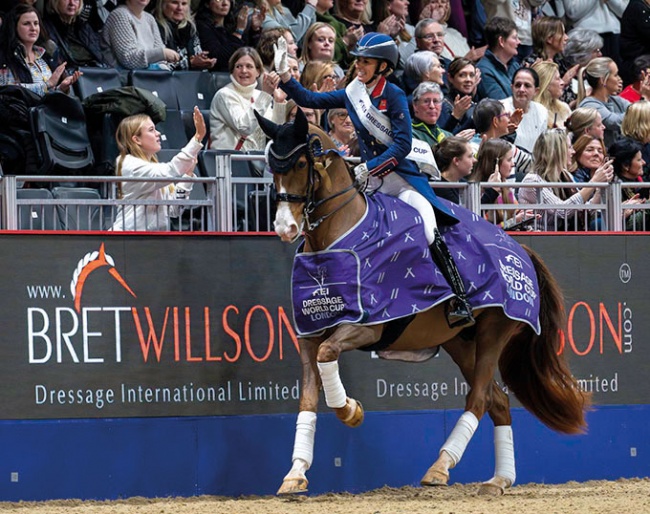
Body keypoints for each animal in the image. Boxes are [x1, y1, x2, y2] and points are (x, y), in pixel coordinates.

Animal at [256, 109, 588, 496]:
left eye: (299, 164)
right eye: (272, 165)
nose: (284, 227)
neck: (337, 238)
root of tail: (519, 248)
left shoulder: (369, 325)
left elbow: (329, 357)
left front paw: (351, 411)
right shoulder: (310, 333)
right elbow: (308, 397)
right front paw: (295, 473)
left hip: (494, 331)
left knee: (479, 399)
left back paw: (440, 468)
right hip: (460, 342)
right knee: (498, 402)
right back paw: (498, 479)